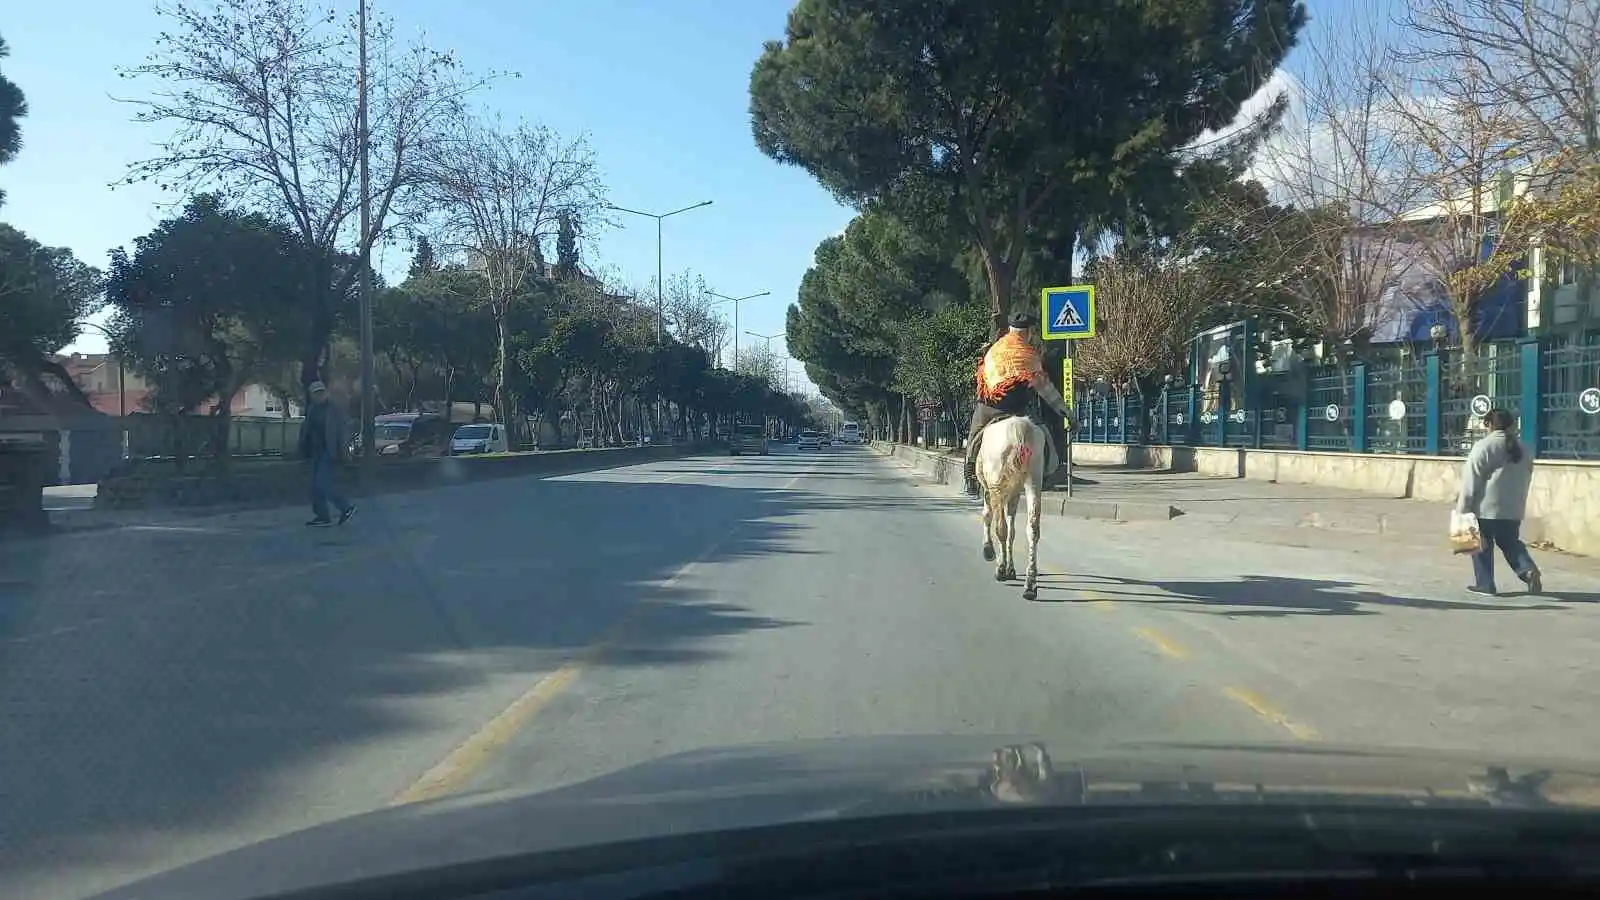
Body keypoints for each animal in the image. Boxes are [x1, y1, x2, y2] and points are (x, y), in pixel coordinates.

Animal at [972, 413, 1049, 595]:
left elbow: (988, 516)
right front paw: (1011, 569)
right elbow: (1012, 531)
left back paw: (1000, 569)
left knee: (1000, 527)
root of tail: (1021, 430)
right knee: (1033, 528)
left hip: (997, 484)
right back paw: (1030, 584)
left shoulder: (989, 487)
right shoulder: (1014, 493)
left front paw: (989, 551)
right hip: (1034, 477)